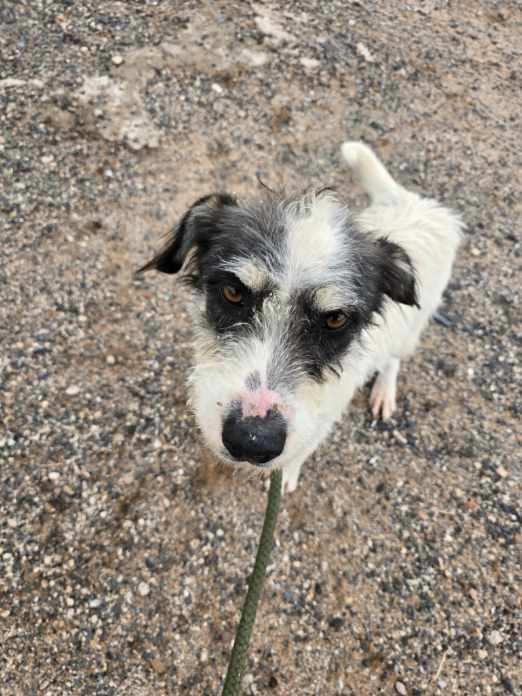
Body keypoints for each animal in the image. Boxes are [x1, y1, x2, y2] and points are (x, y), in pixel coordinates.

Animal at [139, 140, 464, 490]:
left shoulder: (319, 421)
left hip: (414, 326)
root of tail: (411, 203)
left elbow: (299, 452)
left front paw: (286, 476)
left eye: (335, 319)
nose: (251, 440)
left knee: (393, 359)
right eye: (233, 292)